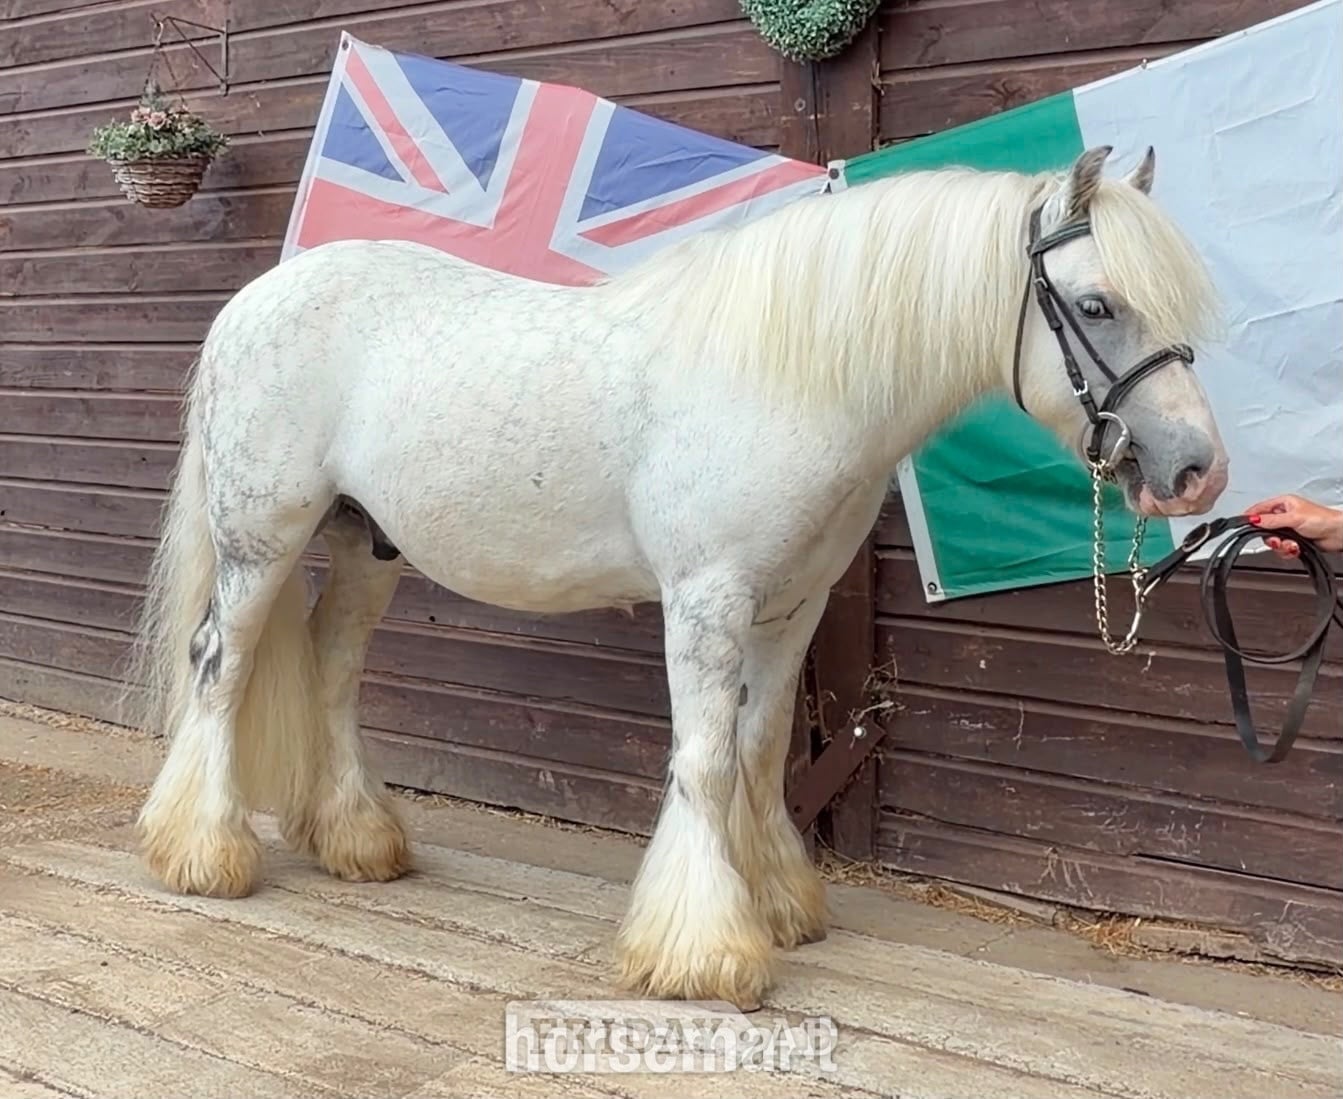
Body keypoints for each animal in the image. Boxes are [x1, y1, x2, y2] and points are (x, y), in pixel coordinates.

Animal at [128, 144, 1230, 1011]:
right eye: (1095, 304)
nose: (1195, 470)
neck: (787, 377)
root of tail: (251, 303)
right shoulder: (706, 598)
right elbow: (702, 760)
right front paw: (704, 949)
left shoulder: (792, 606)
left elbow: (758, 749)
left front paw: (776, 902)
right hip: (262, 538)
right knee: (220, 664)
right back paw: (203, 852)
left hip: (366, 545)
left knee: (331, 669)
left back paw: (356, 839)